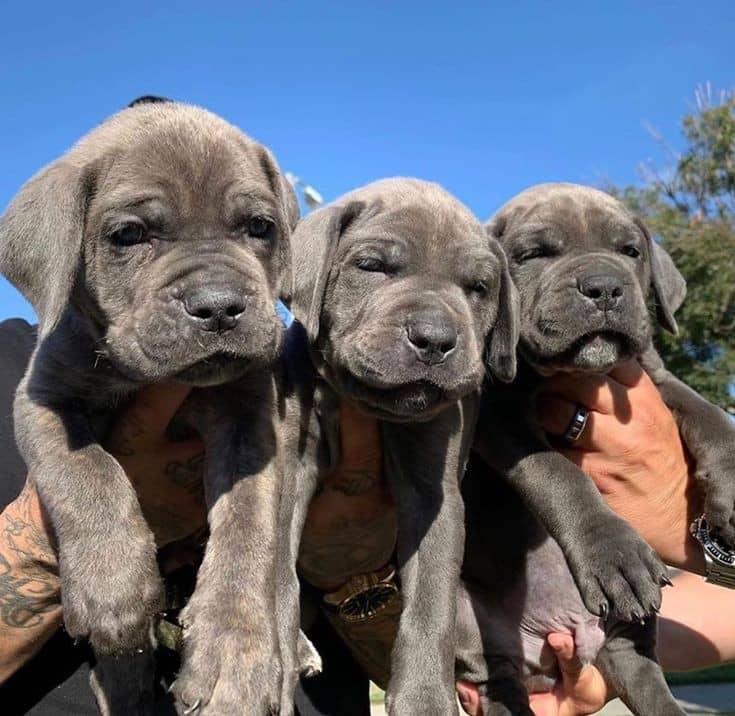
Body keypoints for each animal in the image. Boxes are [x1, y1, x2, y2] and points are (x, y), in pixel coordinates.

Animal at [1, 103, 300, 712]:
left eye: (260, 227)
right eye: (129, 235)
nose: (218, 306)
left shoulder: (252, 420)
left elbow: (247, 531)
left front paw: (233, 655)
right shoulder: (43, 398)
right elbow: (85, 471)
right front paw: (113, 587)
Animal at [278, 180, 520, 716]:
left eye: (478, 288)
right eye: (371, 266)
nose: (434, 339)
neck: (369, 404)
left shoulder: (434, 495)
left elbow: (430, 603)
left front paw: (425, 699)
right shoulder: (289, 463)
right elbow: (274, 559)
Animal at [458, 182, 732, 712]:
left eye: (630, 251)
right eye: (533, 254)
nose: (604, 287)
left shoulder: (653, 376)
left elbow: (709, 414)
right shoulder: (496, 412)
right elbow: (557, 472)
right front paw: (614, 553)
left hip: (631, 629)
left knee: (641, 669)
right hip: (468, 623)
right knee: (492, 679)